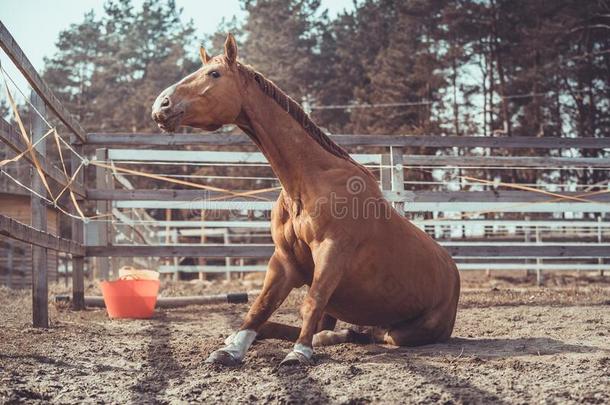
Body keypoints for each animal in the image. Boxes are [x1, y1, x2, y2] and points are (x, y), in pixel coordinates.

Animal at [151, 33, 456, 364]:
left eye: (214, 74)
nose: (161, 105)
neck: (306, 183)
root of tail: (453, 274)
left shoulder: (331, 252)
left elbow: (311, 300)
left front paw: (299, 353)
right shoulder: (285, 260)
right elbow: (260, 306)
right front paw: (231, 349)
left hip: (405, 332)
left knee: (373, 334)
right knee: (338, 329)